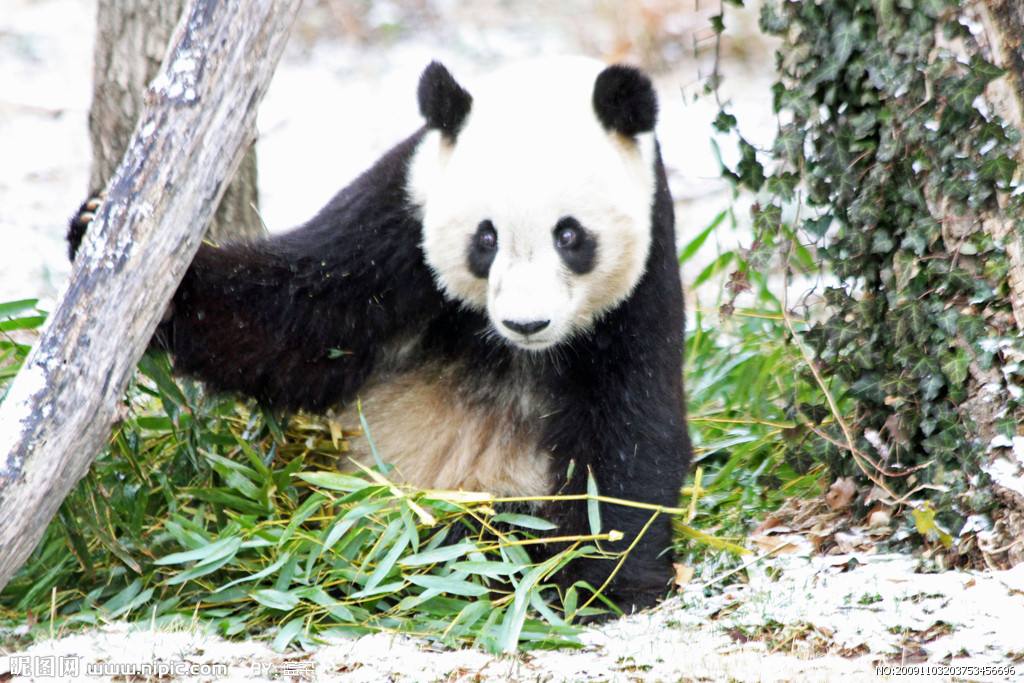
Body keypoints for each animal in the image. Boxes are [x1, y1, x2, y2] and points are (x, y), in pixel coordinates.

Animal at [70, 57, 696, 614]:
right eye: (485, 238)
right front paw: (109, 239)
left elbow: (630, 426)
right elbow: (295, 323)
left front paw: (600, 577)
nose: (527, 323)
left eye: (570, 236)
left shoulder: (643, 285)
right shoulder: (399, 213)